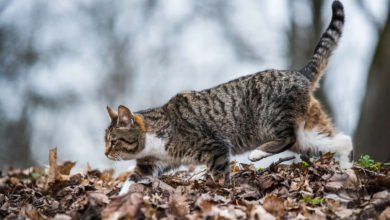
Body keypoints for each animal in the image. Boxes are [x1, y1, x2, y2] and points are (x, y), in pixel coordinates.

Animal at [104, 0, 354, 192]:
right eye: (106, 141)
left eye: (113, 141)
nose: (105, 153)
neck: (155, 137)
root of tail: (299, 73)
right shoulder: (151, 164)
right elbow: (132, 179)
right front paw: (120, 199)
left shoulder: (215, 147)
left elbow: (220, 174)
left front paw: (221, 191)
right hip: (308, 136)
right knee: (342, 141)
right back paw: (347, 171)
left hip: (272, 120)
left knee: (288, 137)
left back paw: (257, 154)